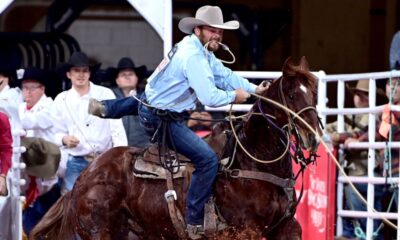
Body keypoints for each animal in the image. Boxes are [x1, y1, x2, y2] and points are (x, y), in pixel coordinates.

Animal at [29, 56, 320, 240]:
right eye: (291, 95)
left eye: (315, 94)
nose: (312, 136)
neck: (250, 162)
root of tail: (84, 179)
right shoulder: (246, 231)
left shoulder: (287, 228)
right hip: (99, 232)